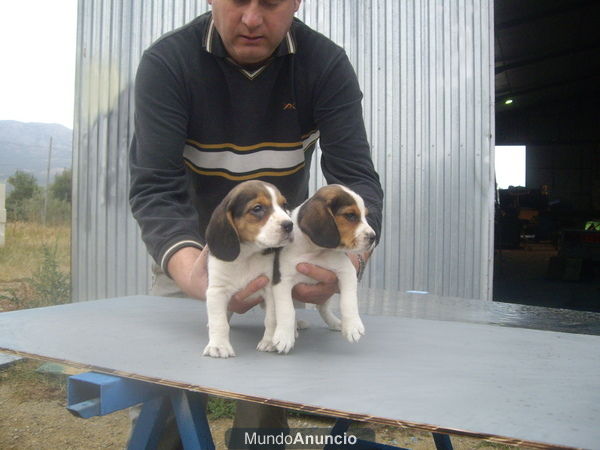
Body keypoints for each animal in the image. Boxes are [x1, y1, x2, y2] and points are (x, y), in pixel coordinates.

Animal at [204, 179, 292, 358]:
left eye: (284, 205)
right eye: (257, 208)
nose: (289, 225)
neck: (247, 256)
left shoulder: (269, 289)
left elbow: (271, 319)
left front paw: (269, 342)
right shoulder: (216, 290)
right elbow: (219, 322)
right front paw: (219, 345)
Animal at [272, 185, 376, 354]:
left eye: (365, 216)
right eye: (350, 216)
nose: (373, 237)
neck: (315, 251)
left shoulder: (347, 271)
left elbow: (348, 301)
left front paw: (352, 325)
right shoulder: (282, 281)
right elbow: (286, 310)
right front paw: (284, 337)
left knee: (322, 307)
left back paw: (335, 323)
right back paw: (295, 326)